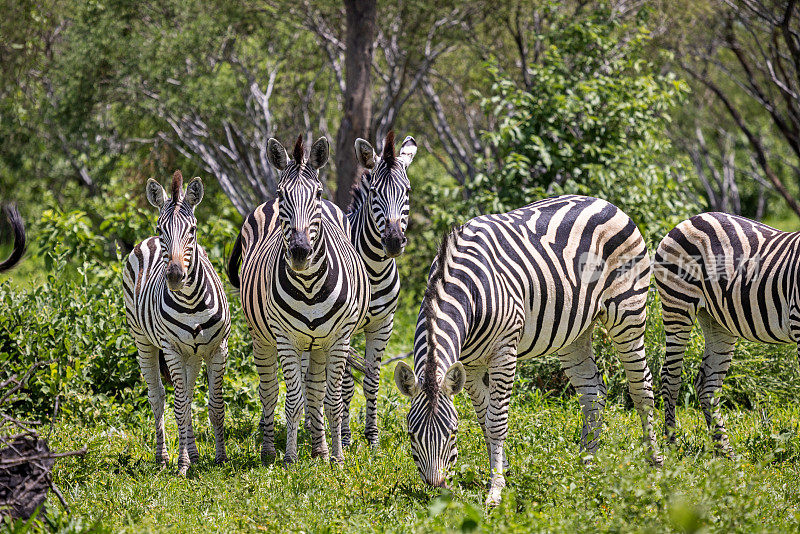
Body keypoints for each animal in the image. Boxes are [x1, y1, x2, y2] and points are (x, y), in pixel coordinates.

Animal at [122, 172, 230, 478]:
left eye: (193, 230)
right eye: (161, 229)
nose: (174, 276)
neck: (192, 302)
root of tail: (145, 241)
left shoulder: (218, 349)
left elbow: (215, 405)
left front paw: (220, 458)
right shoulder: (171, 350)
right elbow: (179, 406)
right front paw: (182, 466)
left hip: (192, 355)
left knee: (190, 397)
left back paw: (193, 453)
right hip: (143, 341)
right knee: (159, 397)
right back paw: (164, 457)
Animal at [227, 136, 370, 466]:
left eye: (317, 193)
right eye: (282, 194)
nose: (300, 251)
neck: (308, 285)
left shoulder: (339, 338)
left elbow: (332, 400)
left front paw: (337, 457)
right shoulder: (285, 339)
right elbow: (292, 400)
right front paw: (290, 458)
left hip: (318, 345)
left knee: (316, 393)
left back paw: (320, 450)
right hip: (261, 338)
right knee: (268, 392)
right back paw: (269, 451)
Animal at [336, 131, 416, 448]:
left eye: (407, 191)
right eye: (374, 194)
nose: (393, 241)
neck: (374, 271)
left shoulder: (384, 325)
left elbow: (371, 380)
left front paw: (372, 439)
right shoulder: (342, 327)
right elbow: (345, 383)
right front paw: (344, 438)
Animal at [396, 196, 664, 506]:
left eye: (453, 434)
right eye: (411, 436)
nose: (437, 488)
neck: (467, 288)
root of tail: (606, 203)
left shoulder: (504, 352)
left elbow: (496, 421)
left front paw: (495, 490)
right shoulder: (470, 365)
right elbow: (484, 419)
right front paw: (502, 471)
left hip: (628, 312)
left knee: (641, 387)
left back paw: (654, 462)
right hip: (575, 332)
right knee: (592, 392)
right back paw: (587, 463)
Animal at [656, 211, 800, 454]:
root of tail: (692, 219)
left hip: (717, 321)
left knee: (707, 385)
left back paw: (724, 451)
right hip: (677, 304)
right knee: (670, 376)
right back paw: (672, 446)